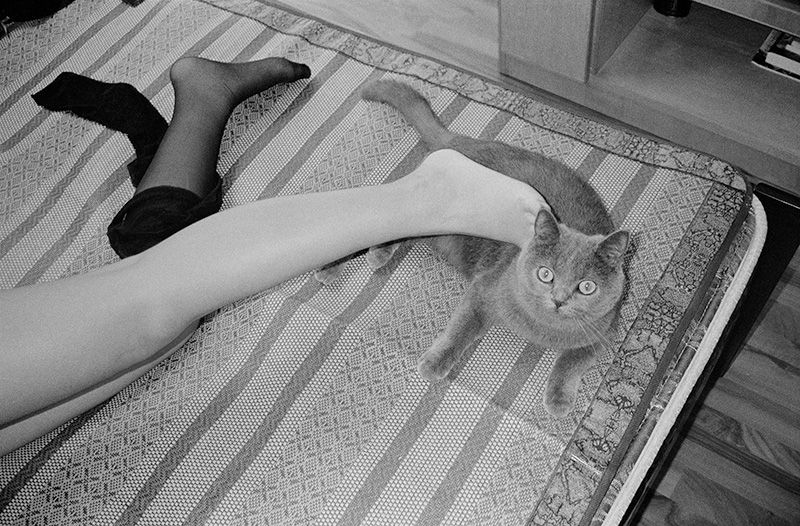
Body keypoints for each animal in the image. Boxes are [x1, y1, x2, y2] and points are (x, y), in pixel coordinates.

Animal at [316, 79, 629, 417]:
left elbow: (572, 362)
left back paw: (373, 254)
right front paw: (434, 363)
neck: (542, 328)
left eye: (587, 287)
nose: (559, 299)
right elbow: (460, 329)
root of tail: (462, 142)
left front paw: (559, 399)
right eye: (546, 274)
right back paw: (336, 265)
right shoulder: (484, 289)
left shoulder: (605, 331)